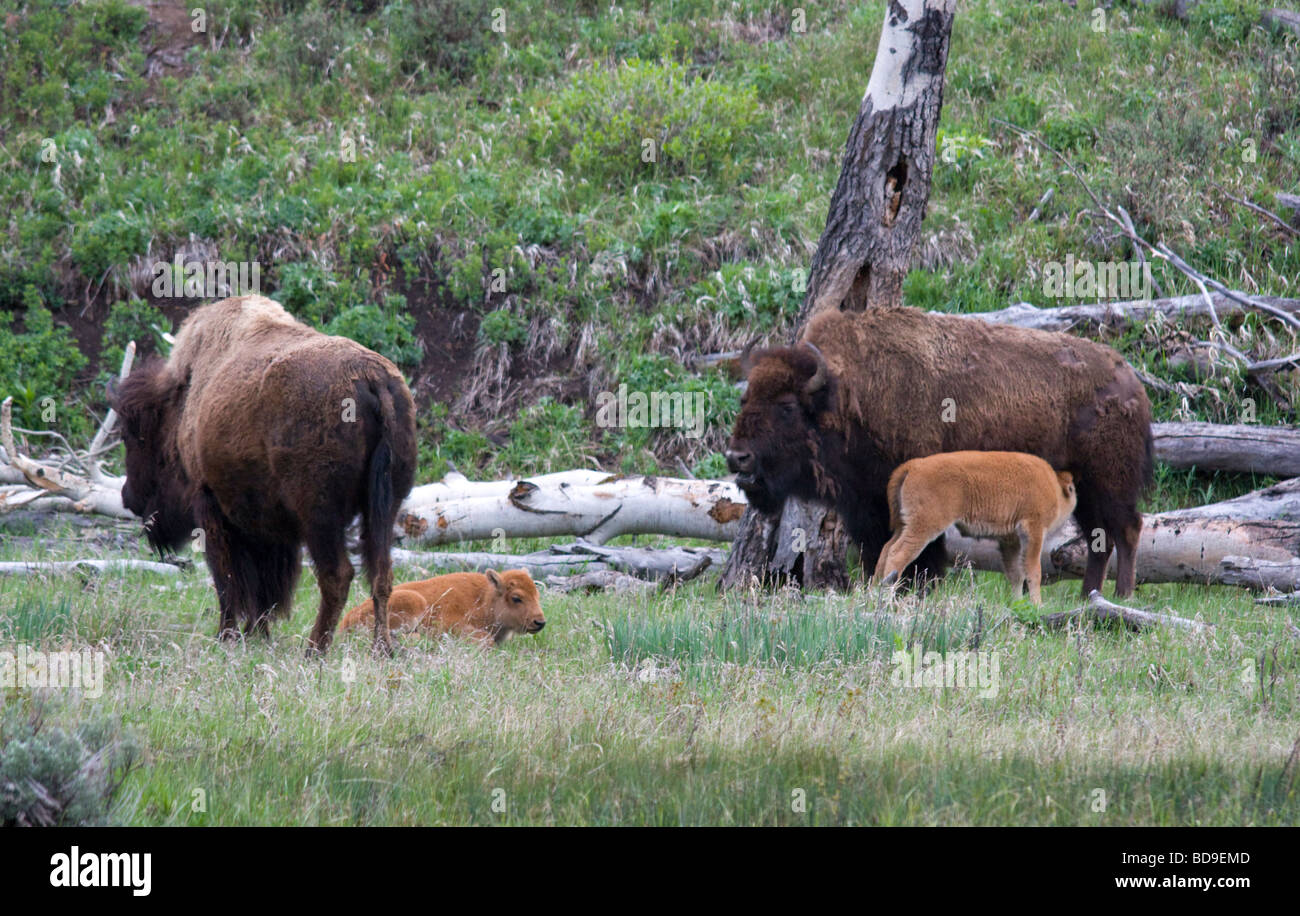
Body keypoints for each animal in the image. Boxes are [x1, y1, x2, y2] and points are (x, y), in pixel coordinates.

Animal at [113, 296, 416, 654]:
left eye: (135, 436)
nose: (128, 497)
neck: (185, 399)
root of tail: (372, 376)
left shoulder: (211, 507)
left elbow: (228, 580)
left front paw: (228, 635)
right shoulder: (268, 525)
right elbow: (266, 586)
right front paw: (256, 632)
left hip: (320, 517)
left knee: (337, 575)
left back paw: (314, 650)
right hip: (385, 507)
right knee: (381, 575)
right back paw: (382, 649)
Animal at [873, 452, 1076, 608]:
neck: (1053, 485)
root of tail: (913, 465)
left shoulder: (1010, 541)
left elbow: (1016, 574)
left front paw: (1017, 604)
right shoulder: (1033, 530)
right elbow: (1033, 570)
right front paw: (1037, 605)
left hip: (903, 525)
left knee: (885, 550)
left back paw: (872, 593)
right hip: (924, 526)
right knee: (897, 554)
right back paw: (887, 598)